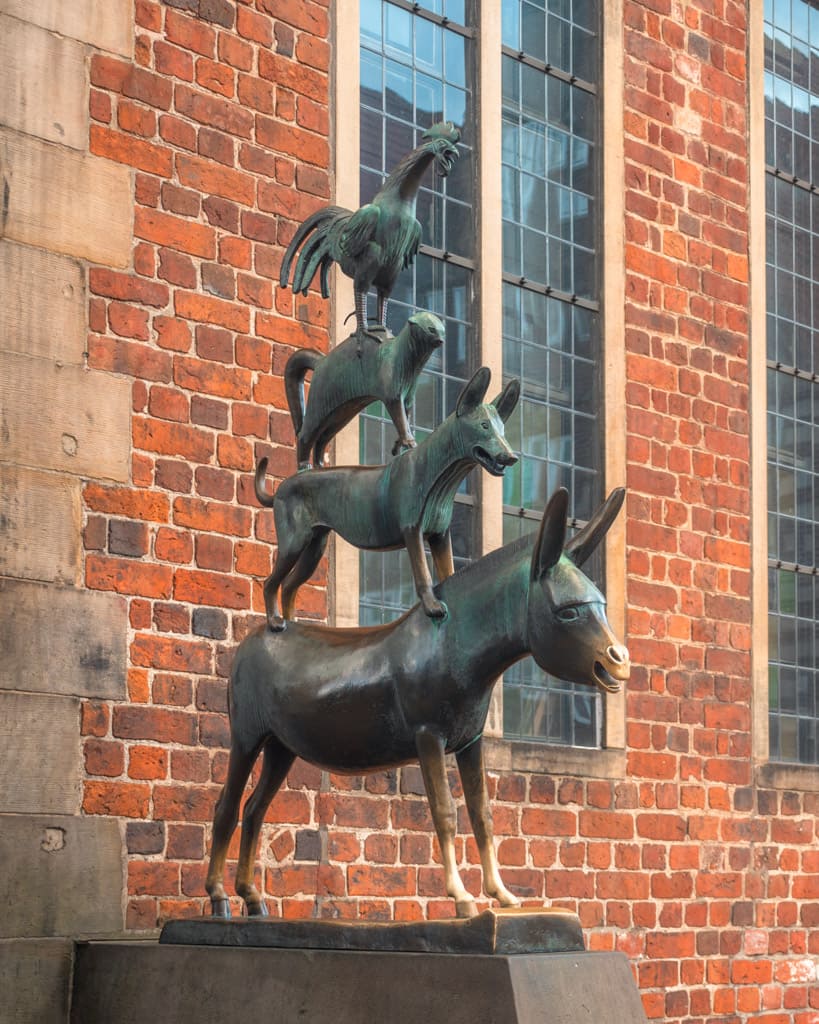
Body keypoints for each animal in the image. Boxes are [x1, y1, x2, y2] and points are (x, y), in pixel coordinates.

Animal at [255, 364, 518, 626]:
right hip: (294, 542)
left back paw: (293, 625)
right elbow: (423, 573)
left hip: (315, 545)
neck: (435, 473)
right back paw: (276, 621)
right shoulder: (412, 531)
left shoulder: (440, 536)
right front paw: (432, 606)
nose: (511, 456)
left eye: (503, 429)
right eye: (484, 426)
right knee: (270, 583)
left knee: (289, 586)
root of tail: (280, 489)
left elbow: (447, 572)